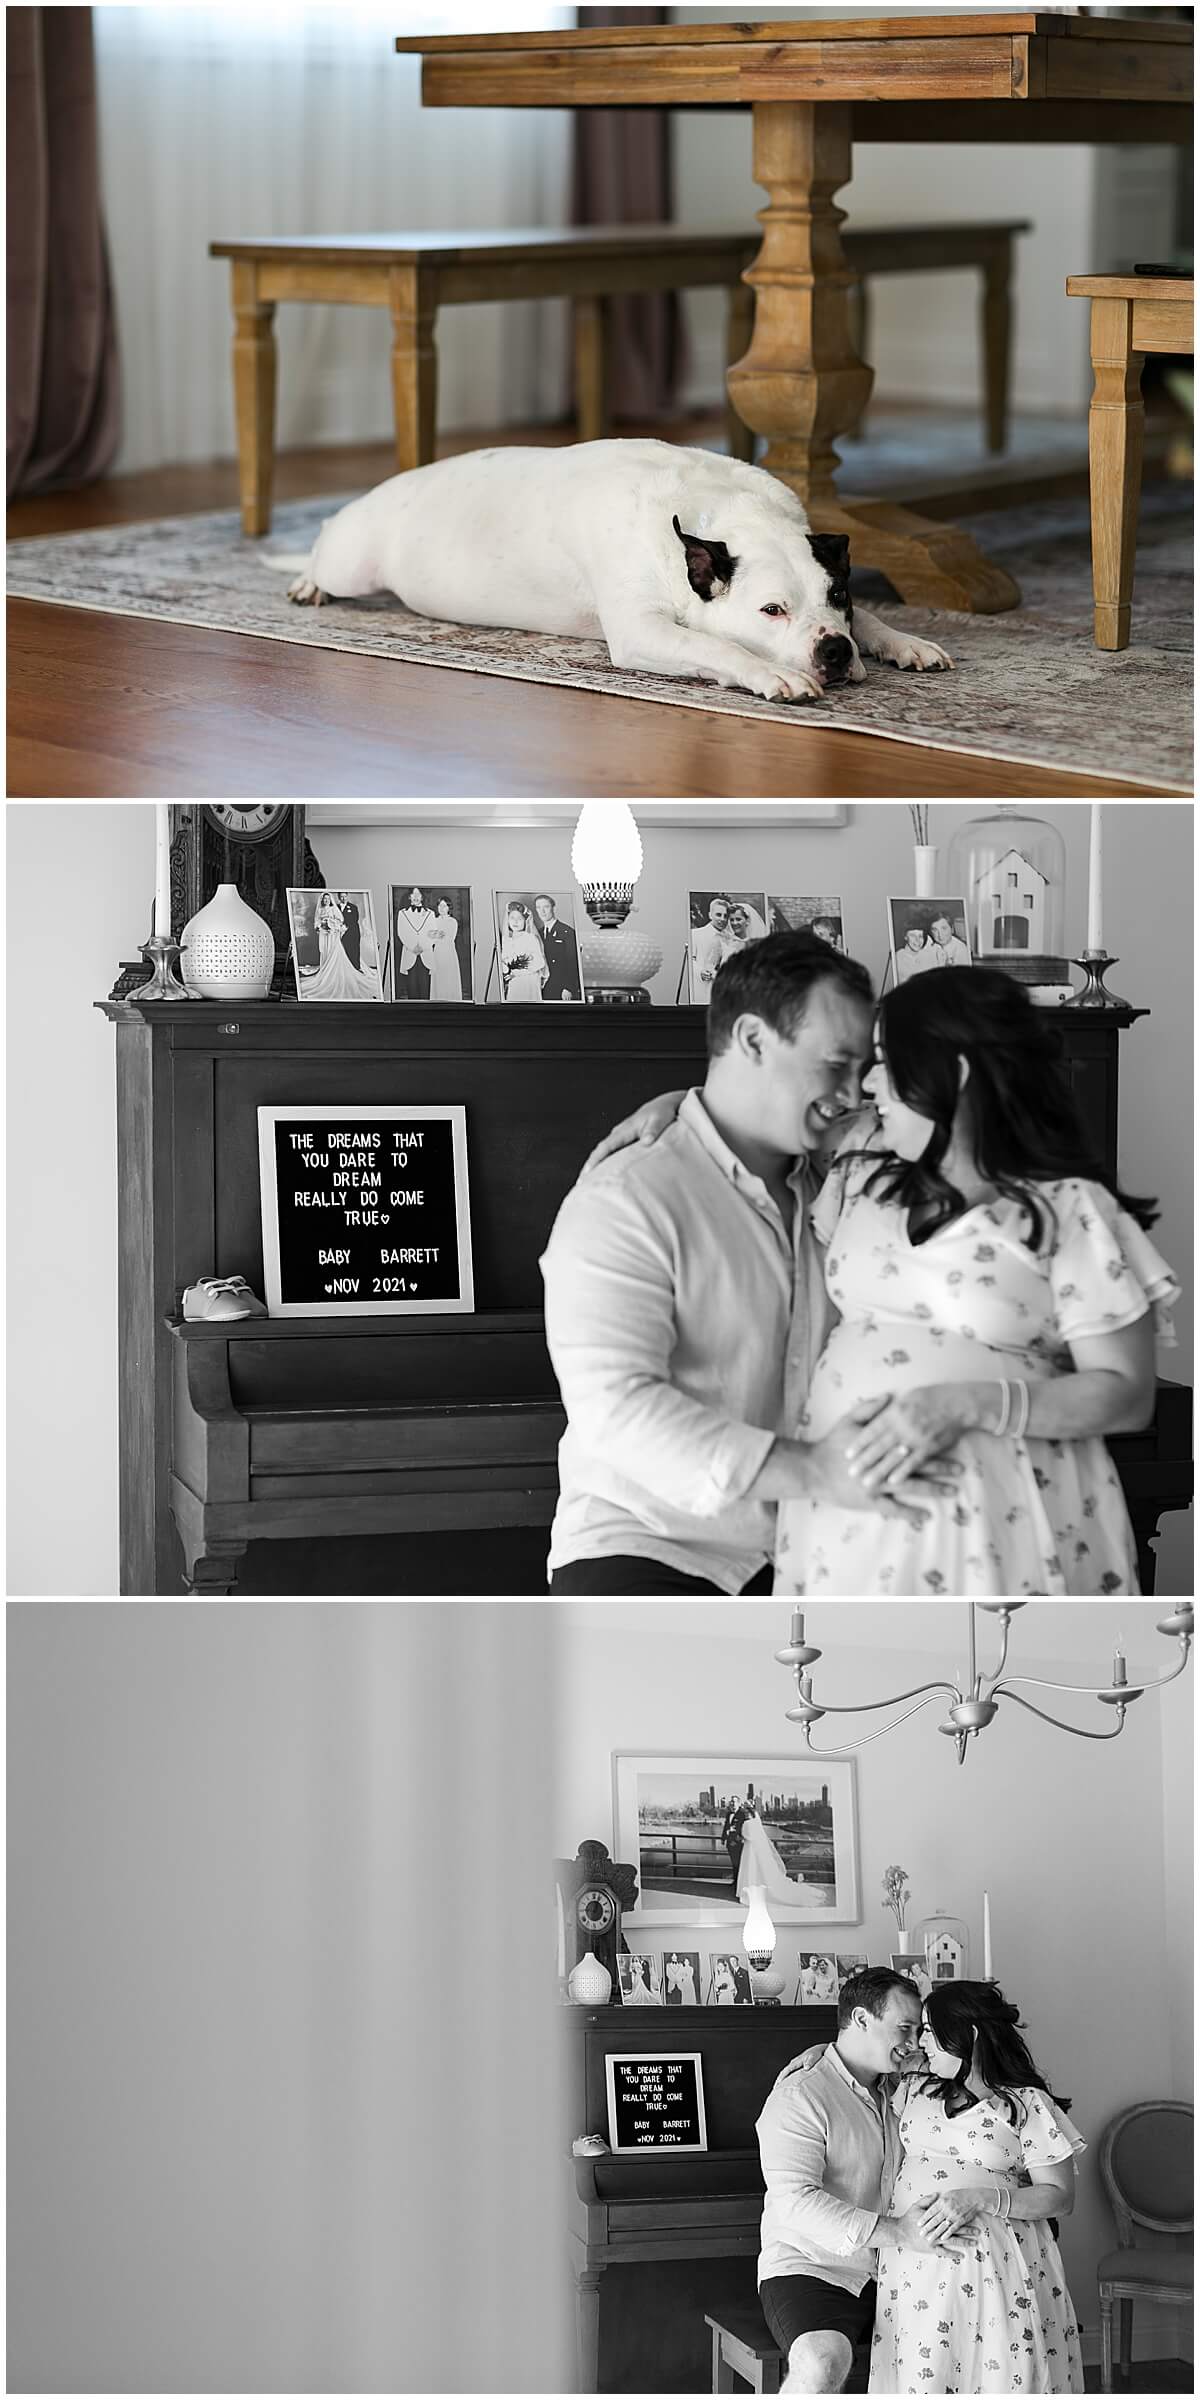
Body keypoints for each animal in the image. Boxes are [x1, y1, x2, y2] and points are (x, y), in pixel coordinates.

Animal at [276, 441, 950, 700]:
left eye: (839, 596)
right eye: (771, 610)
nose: (834, 651)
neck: (715, 507)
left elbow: (877, 621)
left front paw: (903, 641)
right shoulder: (641, 632)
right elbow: (720, 648)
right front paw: (772, 675)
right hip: (354, 561)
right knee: (323, 540)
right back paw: (306, 580)